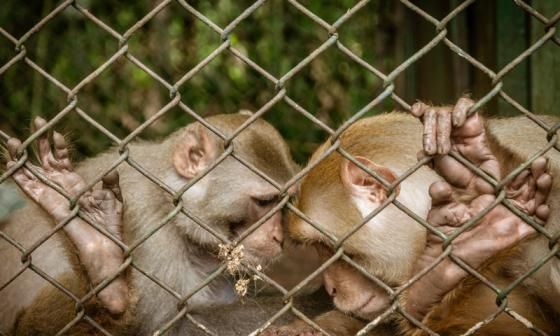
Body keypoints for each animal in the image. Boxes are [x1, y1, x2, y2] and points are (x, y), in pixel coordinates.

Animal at [1, 114, 324, 334]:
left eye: (282, 204)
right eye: (263, 202)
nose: (278, 238)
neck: (171, 202)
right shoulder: (148, 229)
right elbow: (169, 327)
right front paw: (314, 301)